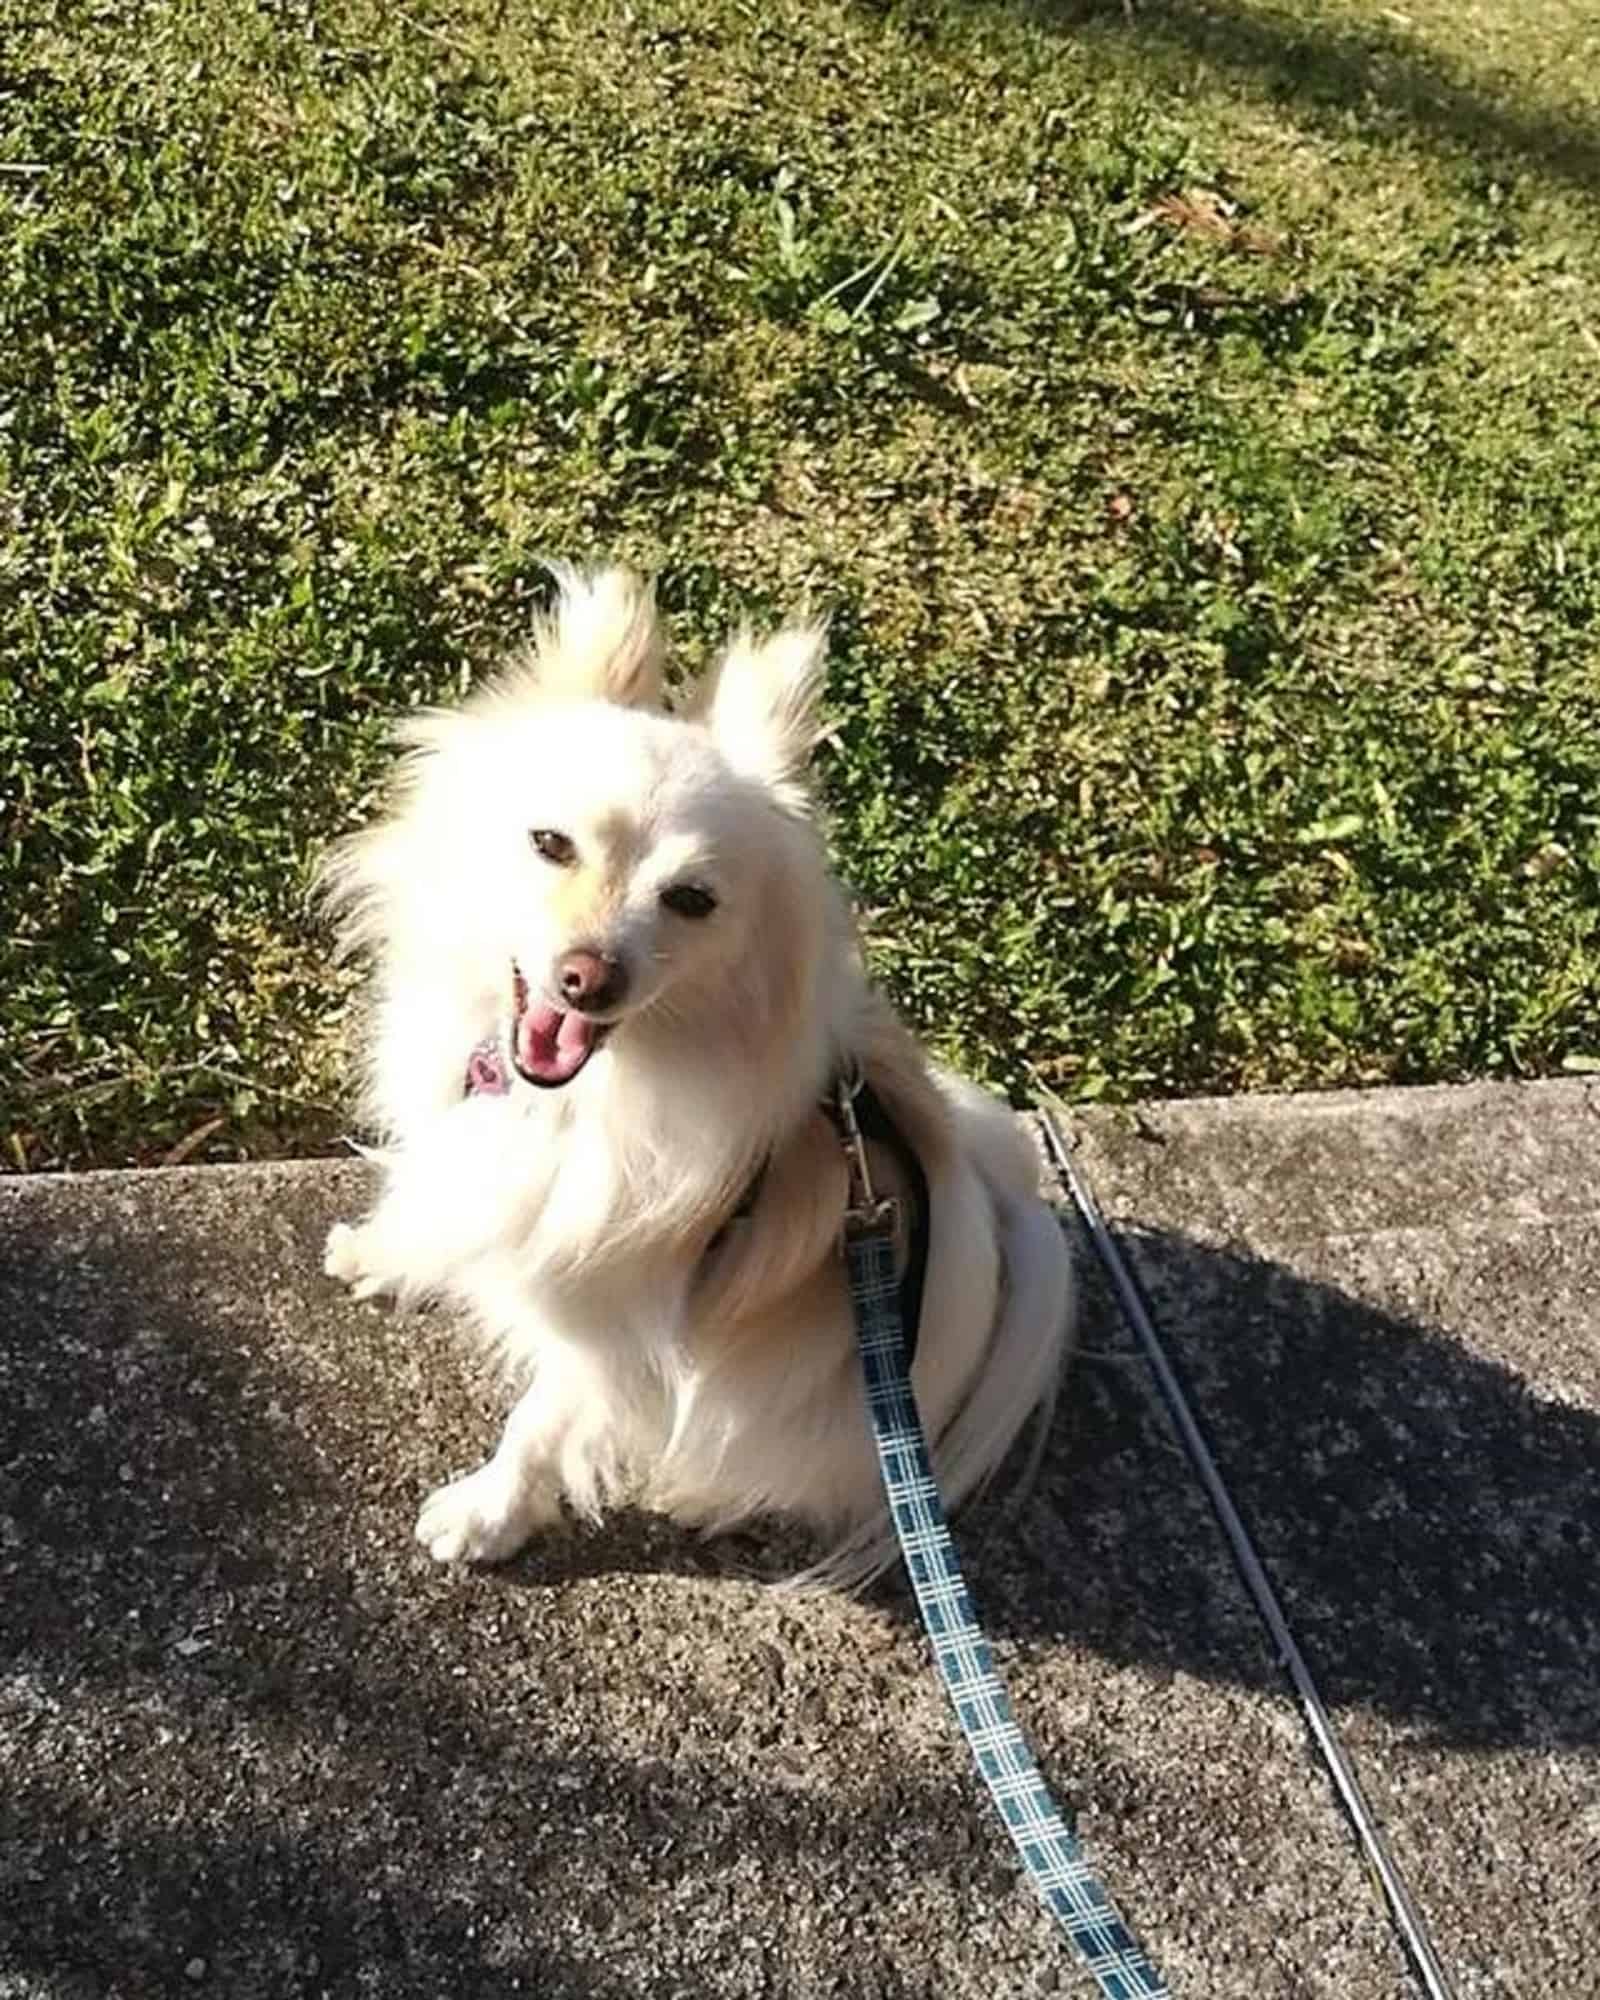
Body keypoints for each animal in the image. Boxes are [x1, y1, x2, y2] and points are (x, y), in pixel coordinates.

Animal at [322, 564, 1072, 1576]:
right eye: (550, 845)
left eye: (691, 900)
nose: (589, 976)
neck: (572, 1101)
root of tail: (991, 1211)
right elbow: (438, 1204)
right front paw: (388, 1253)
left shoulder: (622, 1329)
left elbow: (540, 1426)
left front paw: (485, 1517)